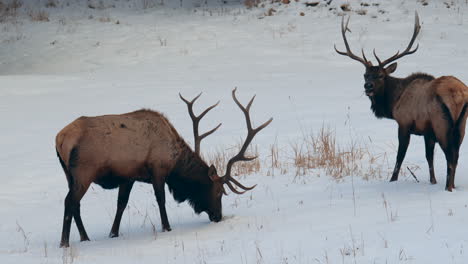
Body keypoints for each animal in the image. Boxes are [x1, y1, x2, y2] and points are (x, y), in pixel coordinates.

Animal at [56, 88, 272, 248]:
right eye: (219, 191)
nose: (218, 216)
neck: (174, 160)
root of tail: (61, 138)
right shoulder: (158, 170)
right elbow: (161, 200)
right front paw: (167, 228)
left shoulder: (128, 176)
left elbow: (121, 204)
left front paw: (113, 233)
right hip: (84, 171)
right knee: (69, 201)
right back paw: (65, 243)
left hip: (69, 175)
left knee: (76, 205)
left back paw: (85, 237)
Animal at [334, 12, 468, 191]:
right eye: (365, 75)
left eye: (381, 75)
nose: (367, 86)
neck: (394, 102)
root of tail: (458, 94)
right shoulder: (427, 131)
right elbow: (429, 157)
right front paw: (432, 181)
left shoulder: (404, 123)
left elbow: (400, 155)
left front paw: (392, 180)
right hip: (461, 125)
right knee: (456, 155)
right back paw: (451, 185)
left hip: (442, 123)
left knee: (450, 157)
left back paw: (448, 188)